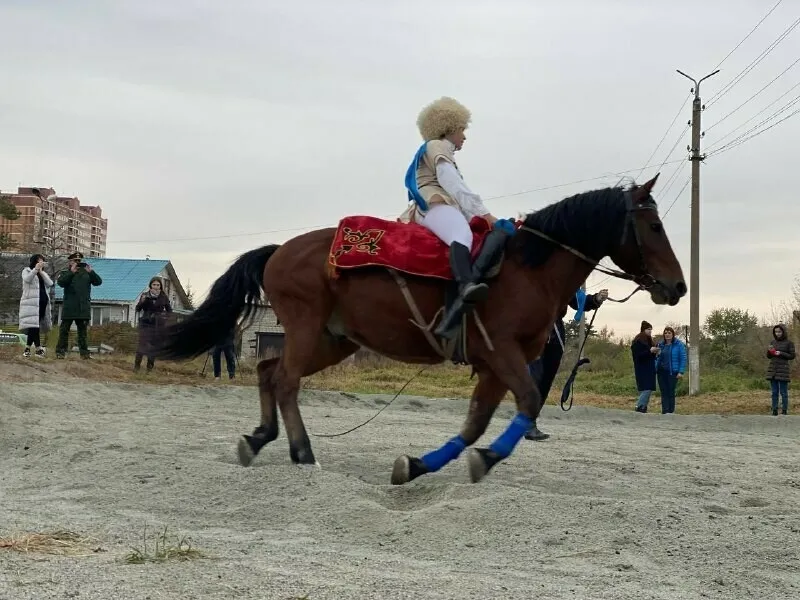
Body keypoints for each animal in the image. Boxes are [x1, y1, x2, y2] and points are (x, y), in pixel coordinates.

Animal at [158, 173, 688, 482]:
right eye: (655, 226)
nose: (679, 286)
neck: (526, 266)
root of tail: (279, 250)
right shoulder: (503, 353)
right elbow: (527, 403)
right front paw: (482, 459)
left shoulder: (493, 366)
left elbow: (474, 425)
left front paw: (417, 465)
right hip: (308, 328)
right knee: (285, 380)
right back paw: (304, 453)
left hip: (333, 340)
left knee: (269, 371)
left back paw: (260, 439)